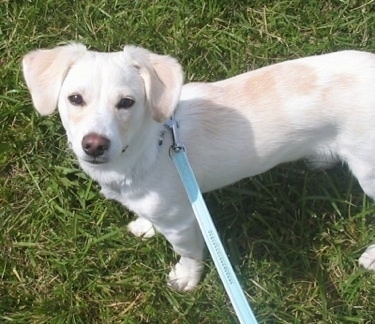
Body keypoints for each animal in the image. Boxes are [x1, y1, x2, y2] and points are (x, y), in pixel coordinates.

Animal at [22, 43, 375, 292]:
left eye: (126, 103)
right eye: (75, 99)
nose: (94, 144)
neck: (152, 146)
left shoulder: (182, 223)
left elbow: (189, 252)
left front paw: (186, 279)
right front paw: (145, 226)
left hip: (370, 173)